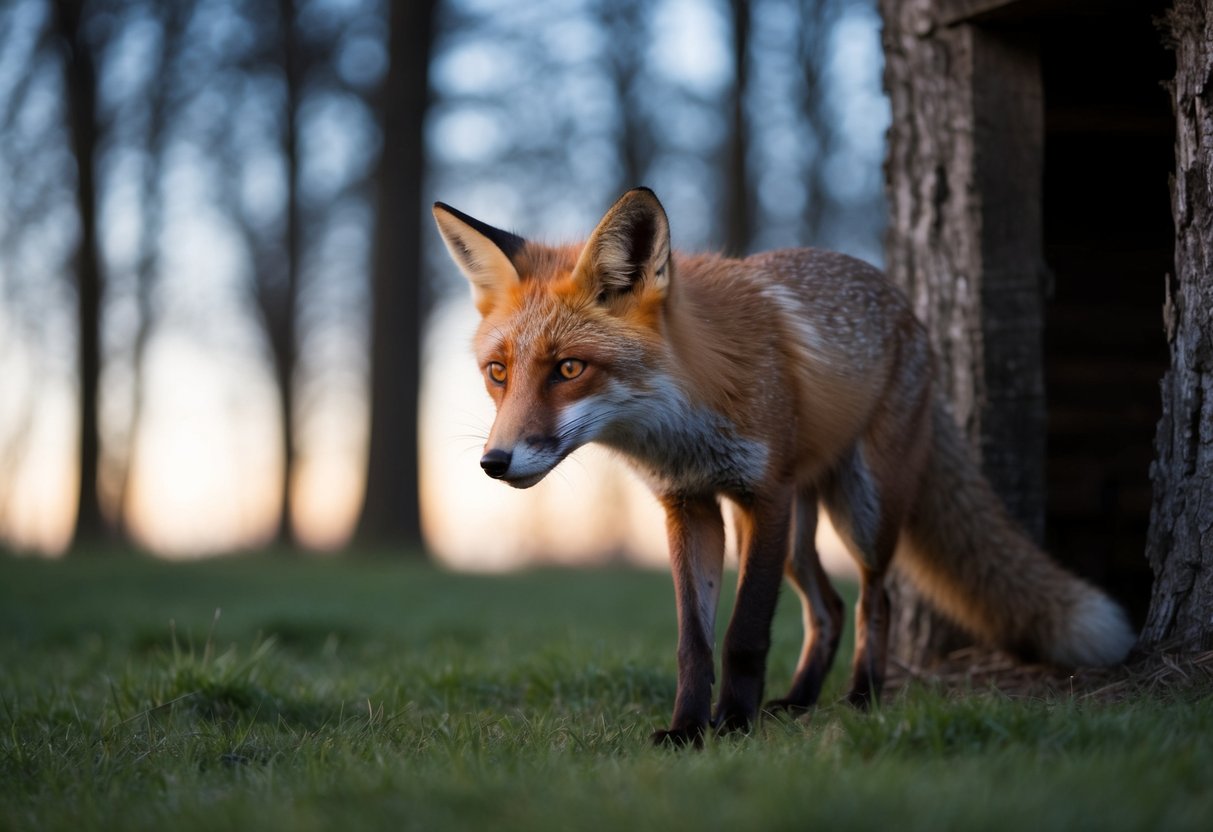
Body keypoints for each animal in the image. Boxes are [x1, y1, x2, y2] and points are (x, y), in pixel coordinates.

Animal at [432, 187, 1136, 746]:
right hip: (797, 536)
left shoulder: (760, 497)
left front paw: (732, 726)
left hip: (861, 510)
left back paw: (861, 699)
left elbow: (744, 635)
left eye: (569, 368)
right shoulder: (690, 505)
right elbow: (694, 642)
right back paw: (797, 703)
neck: (683, 422)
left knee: (874, 599)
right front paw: (688, 729)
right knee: (828, 608)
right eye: (498, 373)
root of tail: (907, 308)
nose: (494, 462)